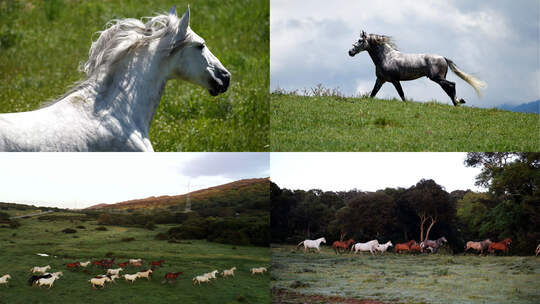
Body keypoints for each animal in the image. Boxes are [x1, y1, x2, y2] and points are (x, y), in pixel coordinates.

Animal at [348, 30, 488, 106]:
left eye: (360, 40)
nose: (350, 52)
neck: (386, 57)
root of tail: (443, 57)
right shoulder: (381, 80)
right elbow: (373, 94)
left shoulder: (394, 80)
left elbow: (401, 94)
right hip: (439, 79)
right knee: (448, 88)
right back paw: (457, 102)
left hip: (437, 78)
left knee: (451, 85)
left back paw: (457, 102)